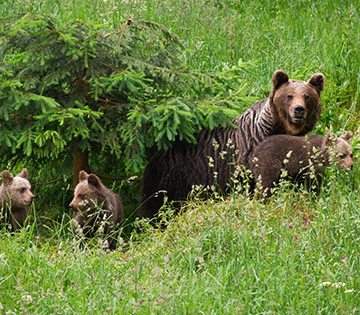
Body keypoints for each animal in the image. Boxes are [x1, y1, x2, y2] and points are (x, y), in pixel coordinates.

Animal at [139, 70, 324, 221]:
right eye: (289, 96)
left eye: (307, 96)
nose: (298, 110)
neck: (280, 130)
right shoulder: (249, 155)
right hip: (172, 177)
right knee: (154, 205)